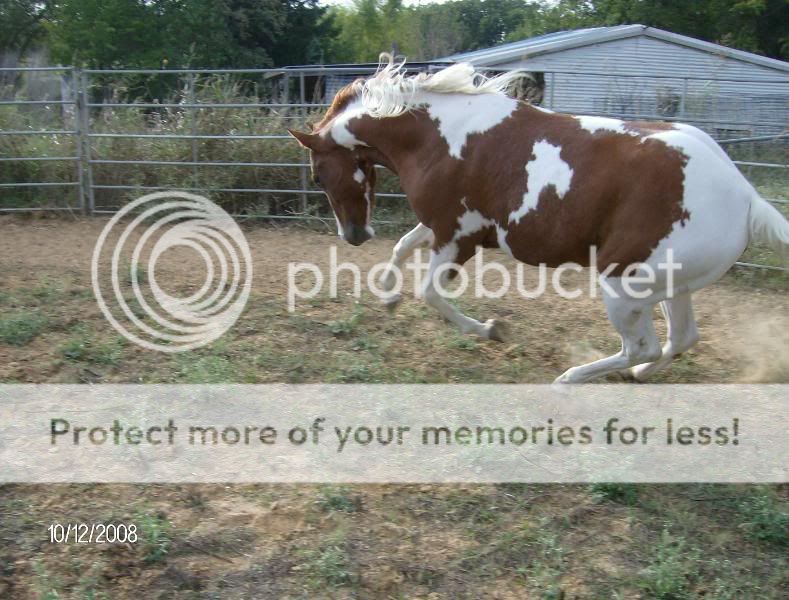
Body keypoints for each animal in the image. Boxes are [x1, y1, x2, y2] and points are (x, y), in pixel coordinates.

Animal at [288, 57, 788, 384]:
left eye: (317, 174)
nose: (354, 236)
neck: (438, 138)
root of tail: (744, 196)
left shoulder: (458, 237)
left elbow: (430, 292)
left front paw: (490, 329)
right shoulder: (441, 225)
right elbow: (401, 247)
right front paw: (389, 299)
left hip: (625, 285)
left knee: (641, 345)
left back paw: (571, 378)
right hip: (671, 287)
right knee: (681, 338)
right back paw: (641, 374)